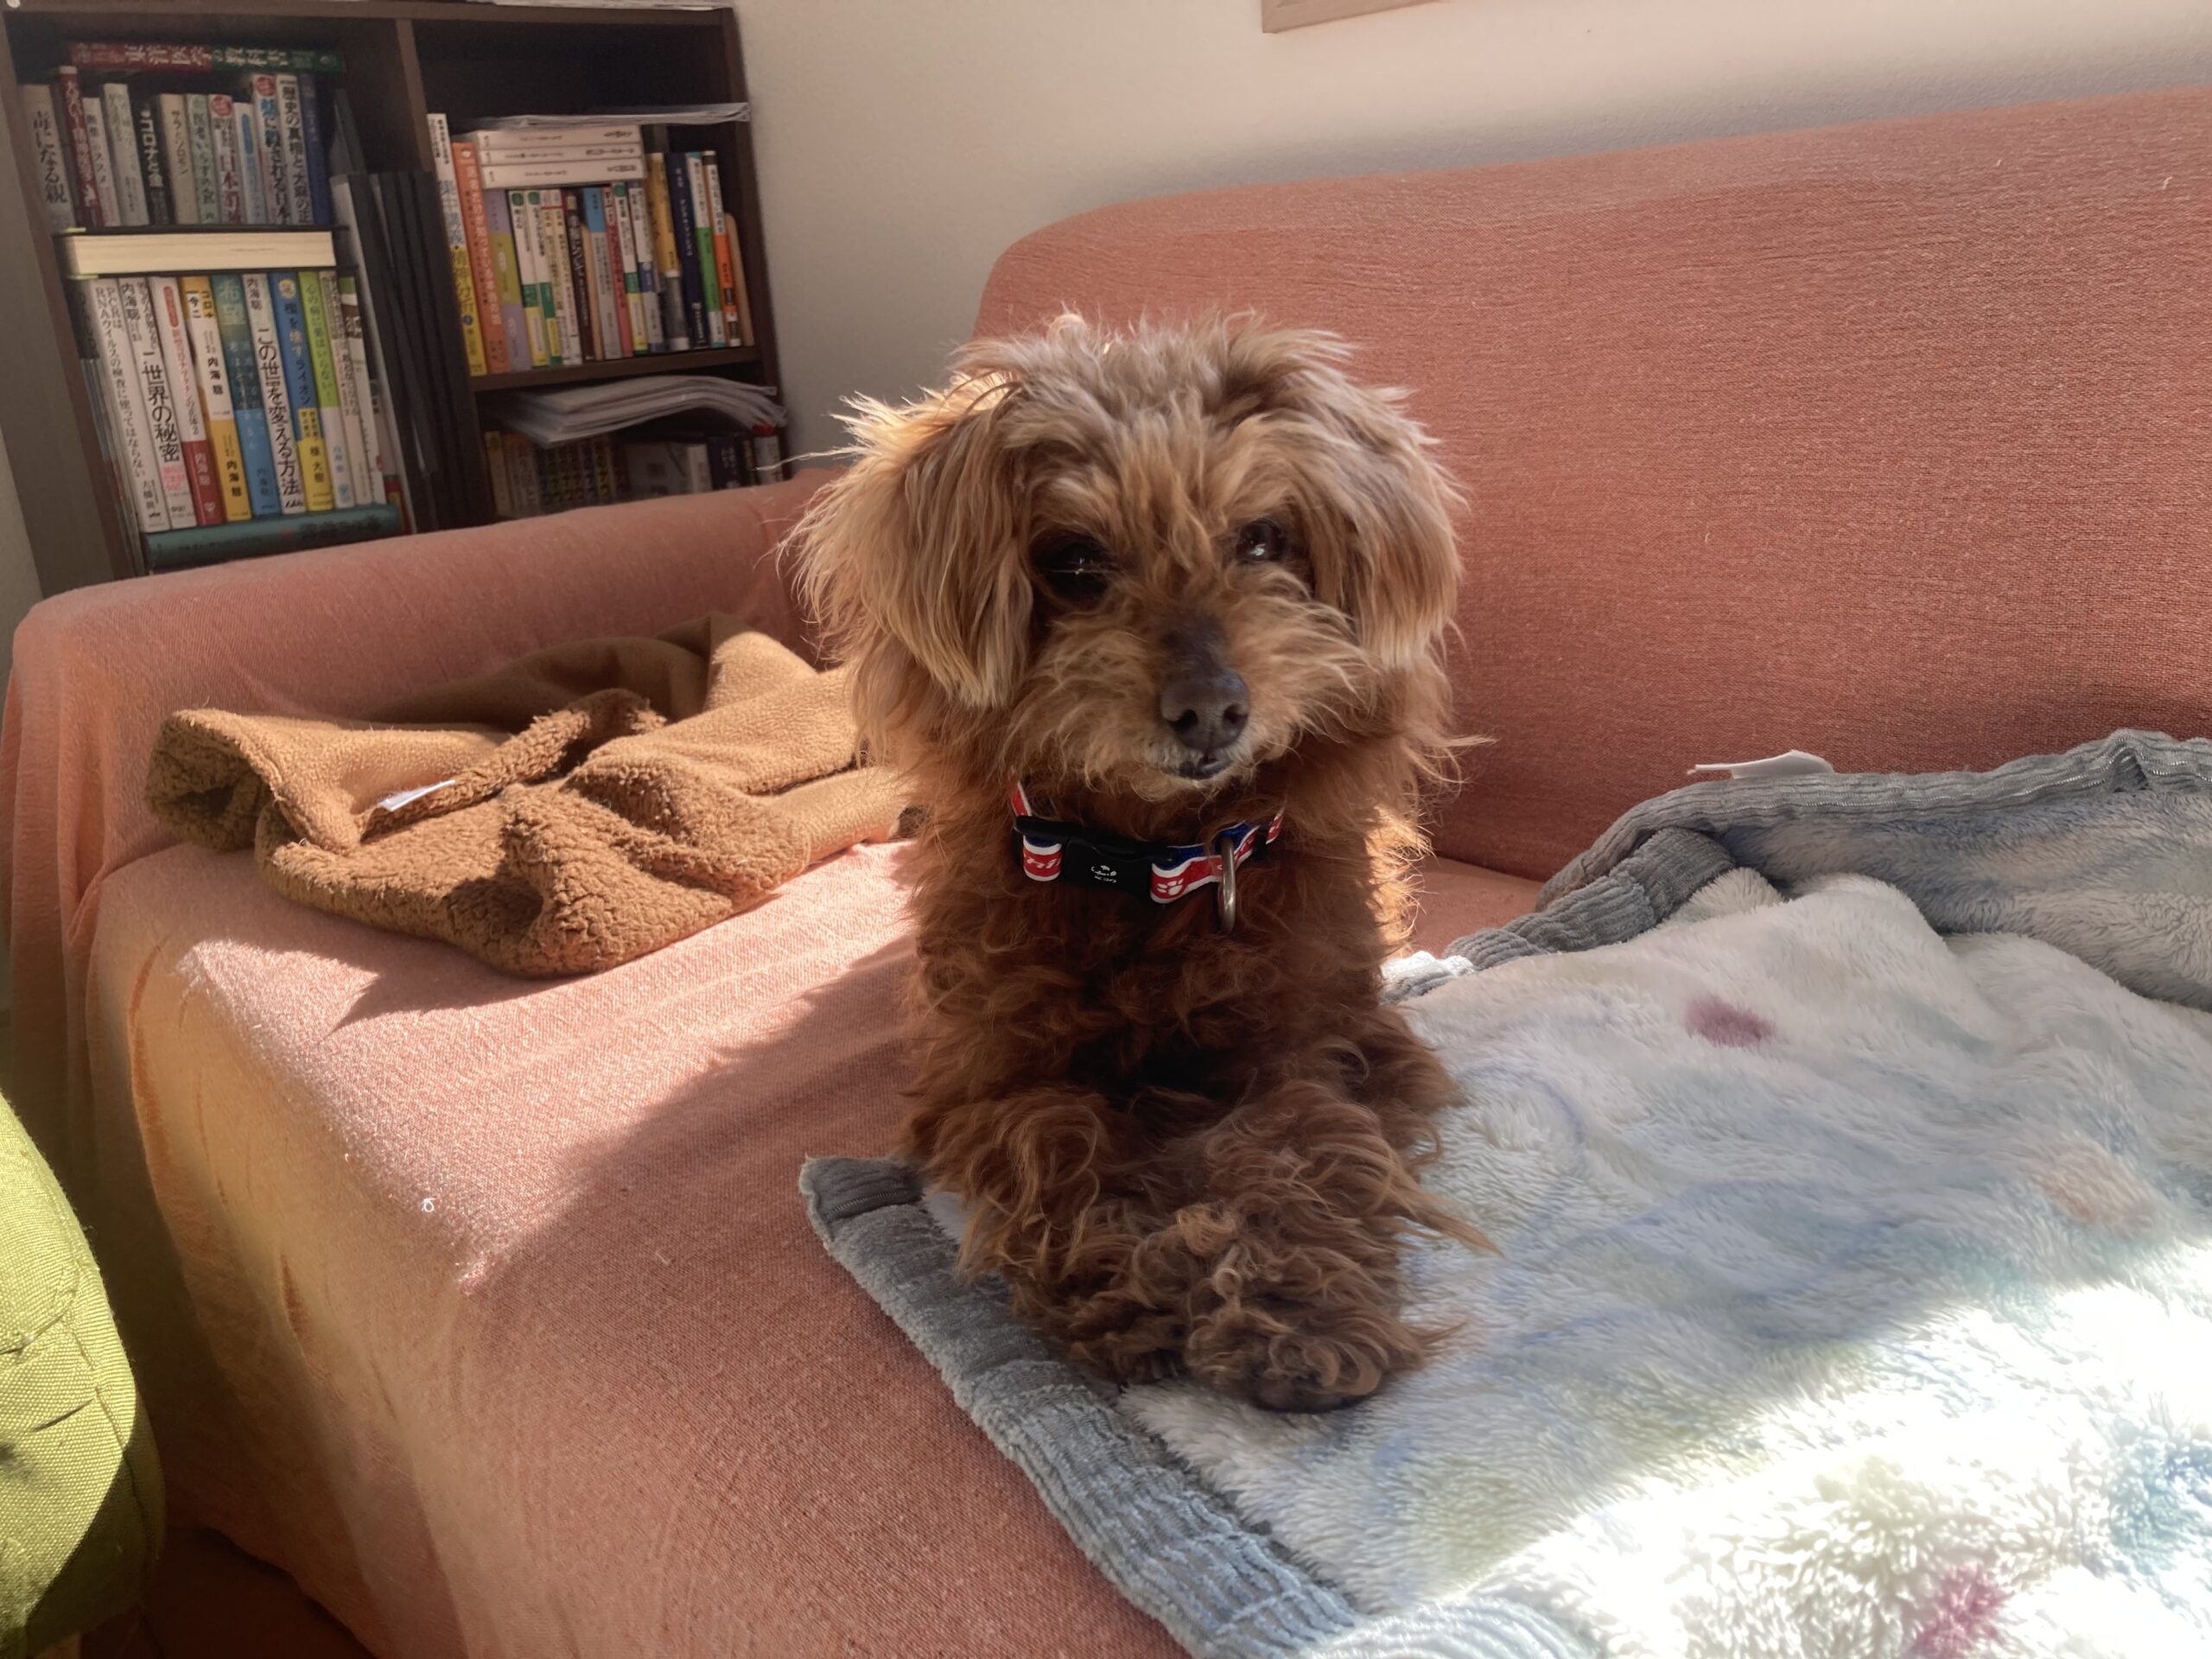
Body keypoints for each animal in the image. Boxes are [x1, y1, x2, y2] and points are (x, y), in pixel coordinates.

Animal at [796, 314, 1482, 1411]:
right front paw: (1129, 1280)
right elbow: (1058, 1144)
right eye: (1075, 561)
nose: (1210, 709)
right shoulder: (990, 1074)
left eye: (1262, 539)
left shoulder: (1313, 1038)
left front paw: (1295, 1308)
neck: (1151, 862)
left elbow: (1294, 1139)